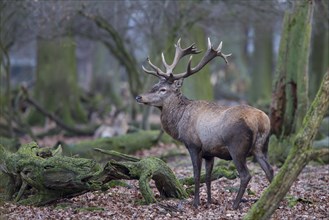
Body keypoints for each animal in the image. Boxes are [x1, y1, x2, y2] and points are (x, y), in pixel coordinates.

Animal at [135, 38, 272, 210]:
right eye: (154, 86)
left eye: (163, 89)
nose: (139, 97)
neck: (178, 123)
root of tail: (261, 120)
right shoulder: (209, 152)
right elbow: (208, 177)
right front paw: (208, 201)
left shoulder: (193, 145)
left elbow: (196, 175)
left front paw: (196, 203)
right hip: (262, 147)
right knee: (270, 171)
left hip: (237, 147)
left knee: (246, 175)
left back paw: (235, 204)